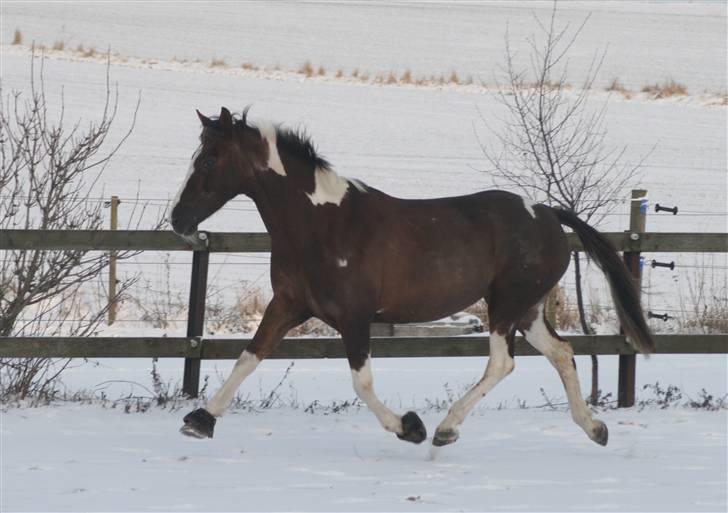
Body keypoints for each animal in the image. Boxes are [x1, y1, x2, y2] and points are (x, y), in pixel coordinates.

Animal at [172, 107, 656, 448]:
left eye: (210, 160)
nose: (178, 220)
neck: (321, 224)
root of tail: (549, 214)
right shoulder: (289, 305)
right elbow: (249, 356)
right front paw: (200, 420)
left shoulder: (354, 317)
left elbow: (362, 382)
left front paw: (409, 428)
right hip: (529, 311)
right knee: (562, 352)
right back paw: (594, 428)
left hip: (506, 306)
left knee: (504, 362)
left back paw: (444, 429)